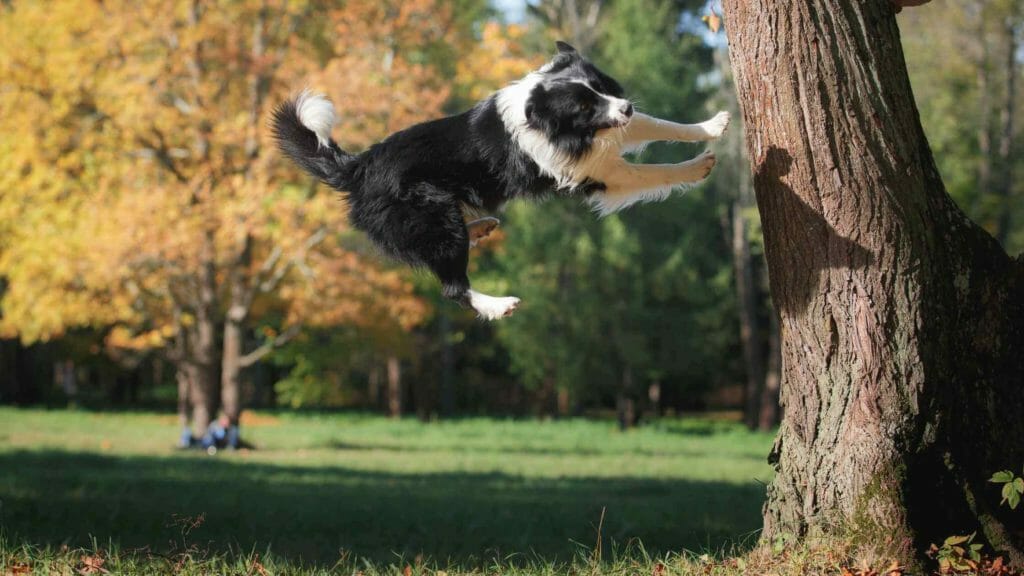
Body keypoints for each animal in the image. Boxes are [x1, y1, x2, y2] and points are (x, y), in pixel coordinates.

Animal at [274, 41, 729, 317]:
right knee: (452, 286)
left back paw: (481, 228)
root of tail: (358, 165)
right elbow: (651, 171)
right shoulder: (595, 171)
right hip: (432, 212)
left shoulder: (608, 133)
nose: (627, 107)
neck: (548, 117)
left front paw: (713, 124)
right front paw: (698, 167)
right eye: (582, 107)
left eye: (599, 87)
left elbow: (662, 125)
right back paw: (498, 304)